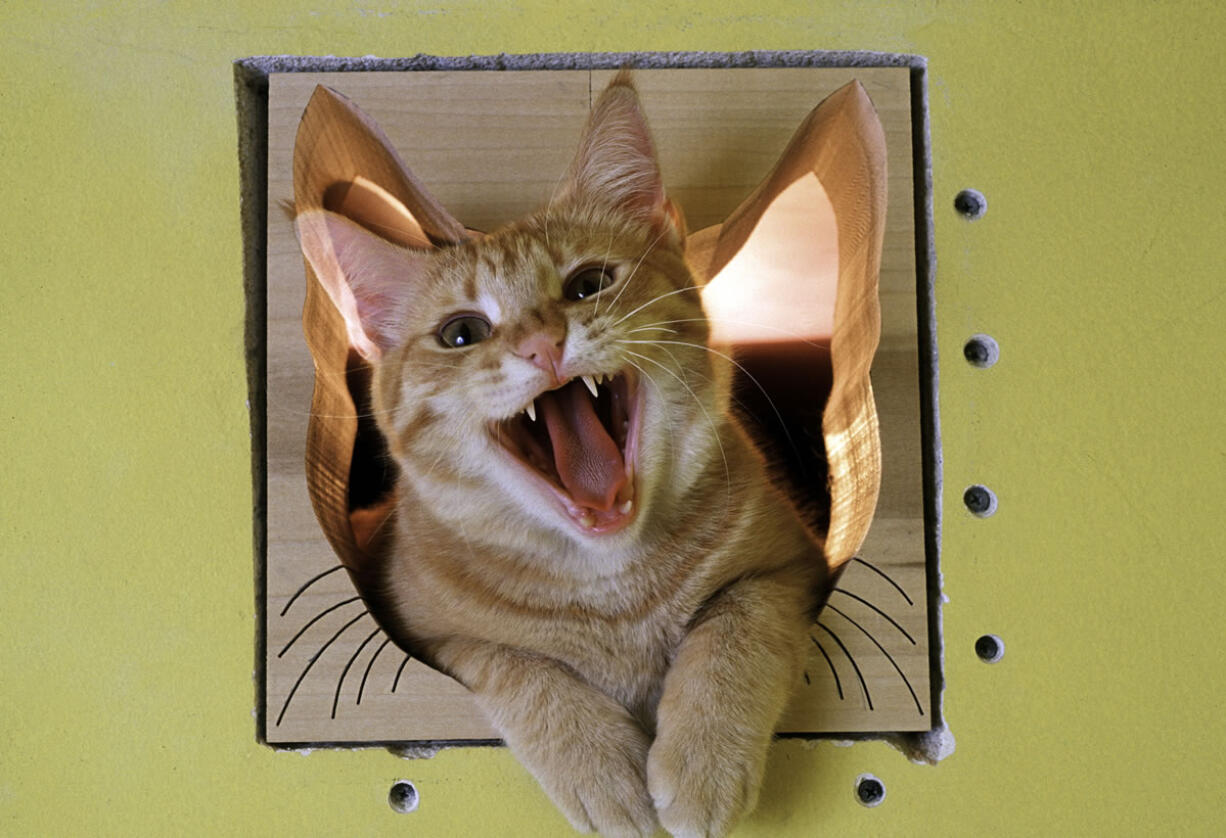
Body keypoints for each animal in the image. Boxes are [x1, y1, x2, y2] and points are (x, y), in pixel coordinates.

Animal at [299, 75, 833, 833]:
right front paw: (601, 770)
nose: (542, 344)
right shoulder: (430, 642)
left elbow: (736, 627)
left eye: (588, 284)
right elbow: (523, 669)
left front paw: (702, 758)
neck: (612, 589)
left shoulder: (794, 570)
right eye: (461, 333)